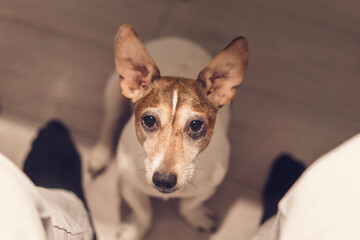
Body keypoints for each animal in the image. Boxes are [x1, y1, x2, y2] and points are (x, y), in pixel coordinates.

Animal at [88, 23, 249, 239]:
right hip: (113, 92)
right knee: (110, 121)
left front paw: (196, 216)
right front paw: (134, 229)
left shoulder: (208, 188)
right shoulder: (128, 186)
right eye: (149, 120)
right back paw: (100, 155)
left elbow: (189, 205)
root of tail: (178, 40)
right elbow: (144, 212)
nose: (163, 181)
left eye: (196, 125)